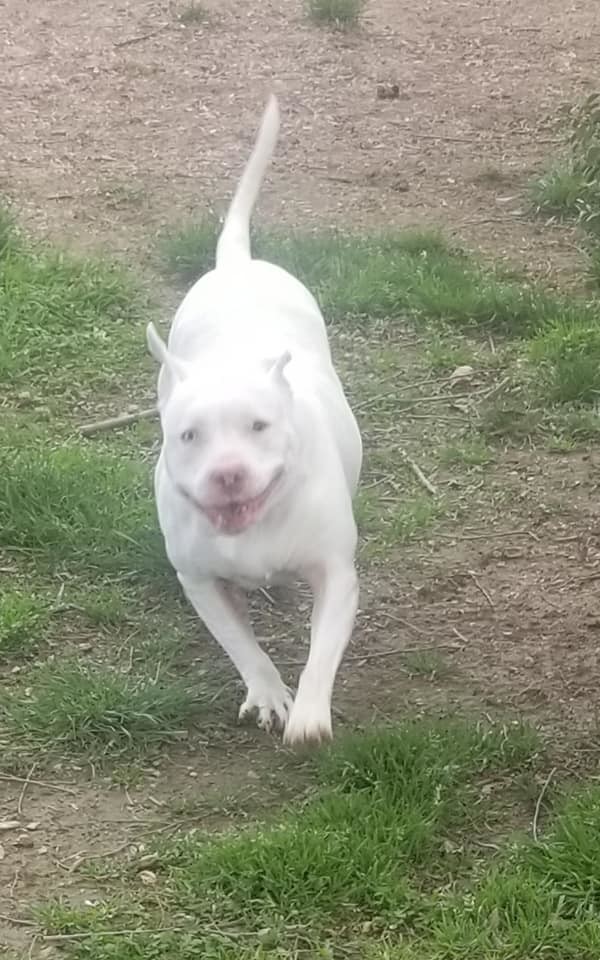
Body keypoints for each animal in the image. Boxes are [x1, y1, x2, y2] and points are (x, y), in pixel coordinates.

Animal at [148, 95, 364, 744]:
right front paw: (269, 693)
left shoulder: (336, 575)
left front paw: (311, 715)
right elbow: (241, 645)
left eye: (259, 426)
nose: (228, 473)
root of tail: (236, 264)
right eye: (189, 436)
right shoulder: (199, 582)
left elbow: (323, 649)